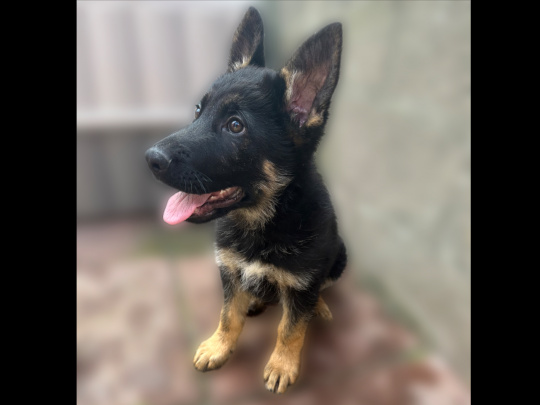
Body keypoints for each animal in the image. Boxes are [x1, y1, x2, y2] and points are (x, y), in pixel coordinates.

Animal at [144, 5, 346, 392]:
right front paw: (219, 346)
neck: (264, 218)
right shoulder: (229, 270)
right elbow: (228, 315)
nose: (150, 159)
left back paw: (319, 307)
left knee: (316, 293)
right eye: (198, 110)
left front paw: (282, 364)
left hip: (340, 255)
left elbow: (290, 329)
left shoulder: (302, 281)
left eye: (235, 126)